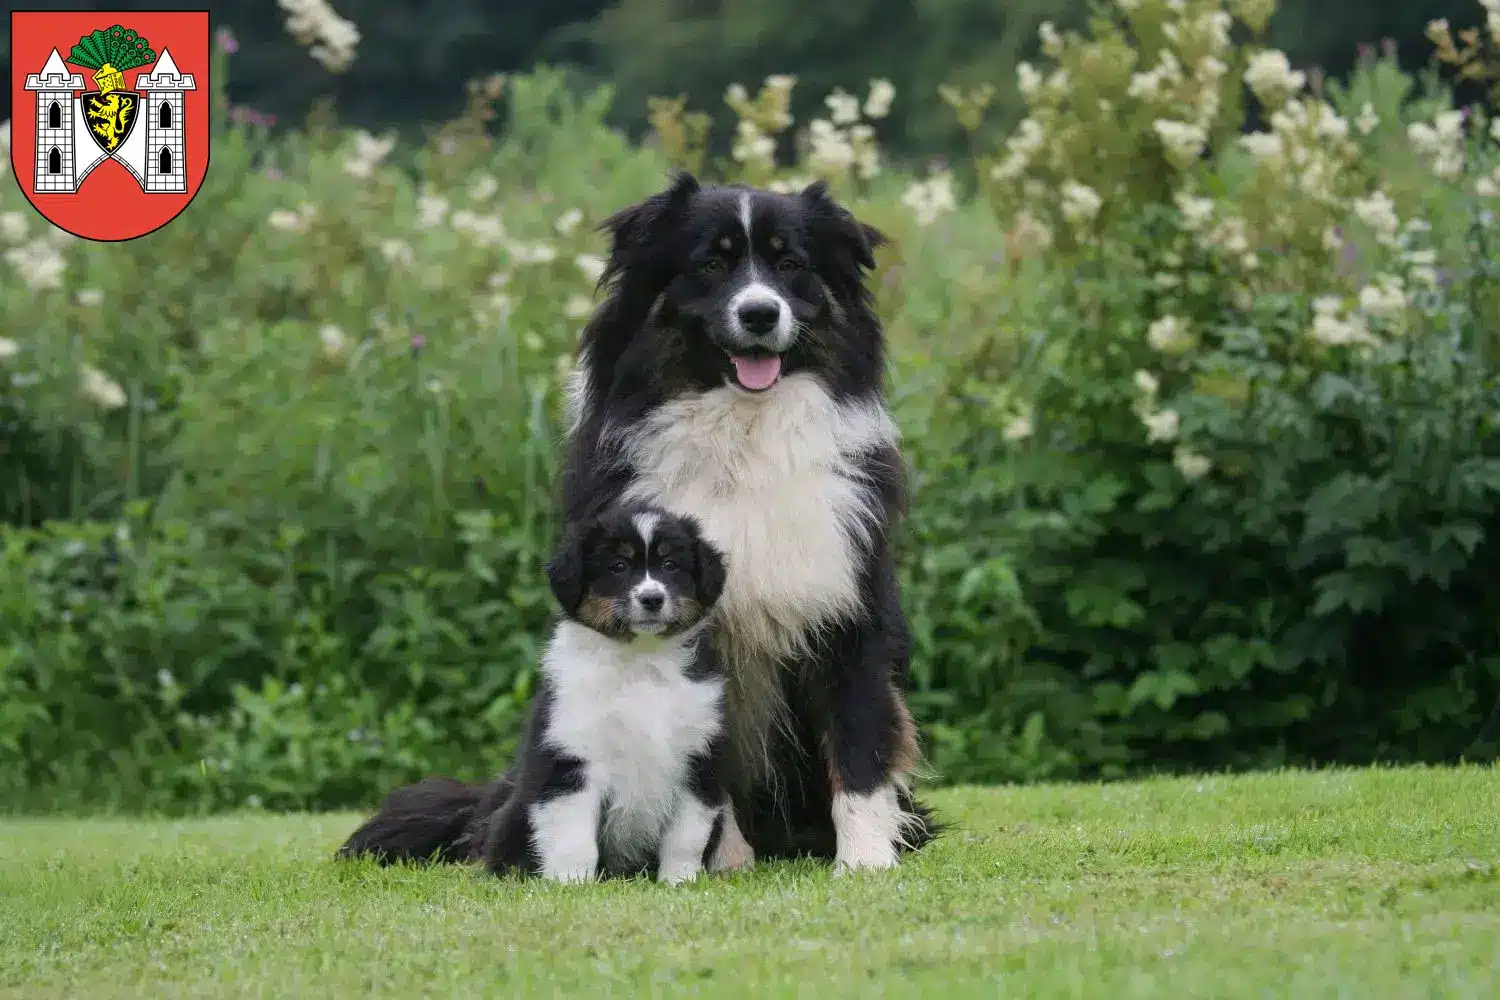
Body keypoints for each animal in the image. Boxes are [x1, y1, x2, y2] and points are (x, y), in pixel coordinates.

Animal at [477, 509, 729, 881]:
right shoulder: (573, 757)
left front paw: (680, 882)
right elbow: (574, 838)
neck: (641, 660)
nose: (652, 599)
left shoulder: (699, 759)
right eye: (618, 566)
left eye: (671, 565)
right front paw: (571, 883)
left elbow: (686, 836)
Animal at [564, 176, 936, 869]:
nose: (760, 314)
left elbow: (859, 739)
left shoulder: (847, 606)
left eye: (790, 264)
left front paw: (866, 859)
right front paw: (728, 863)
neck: (746, 435)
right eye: (710, 264)